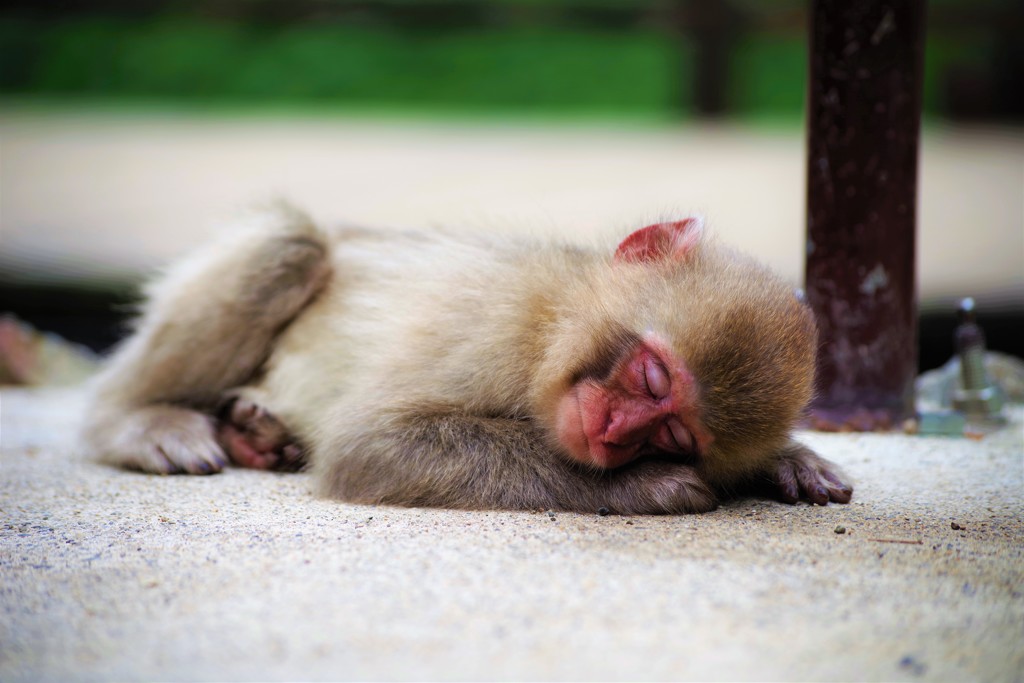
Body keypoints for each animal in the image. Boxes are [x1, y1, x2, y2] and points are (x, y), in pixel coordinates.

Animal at [79, 205, 851, 516]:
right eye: (651, 376)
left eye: (672, 433)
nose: (611, 432)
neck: (554, 320)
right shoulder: (494, 324)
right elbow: (370, 443)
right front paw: (646, 487)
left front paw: (787, 460)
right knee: (290, 244)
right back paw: (134, 420)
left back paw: (255, 433)